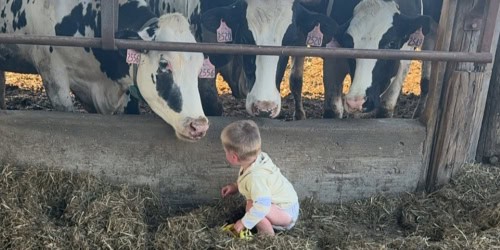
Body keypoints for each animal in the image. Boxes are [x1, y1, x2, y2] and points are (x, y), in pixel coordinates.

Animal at [288, 0, 440, 120]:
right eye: (348, 43)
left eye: (391, 43)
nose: (357, 102)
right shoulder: (333, 57)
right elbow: (332, 111)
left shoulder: (403, 60)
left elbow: (386, 109)